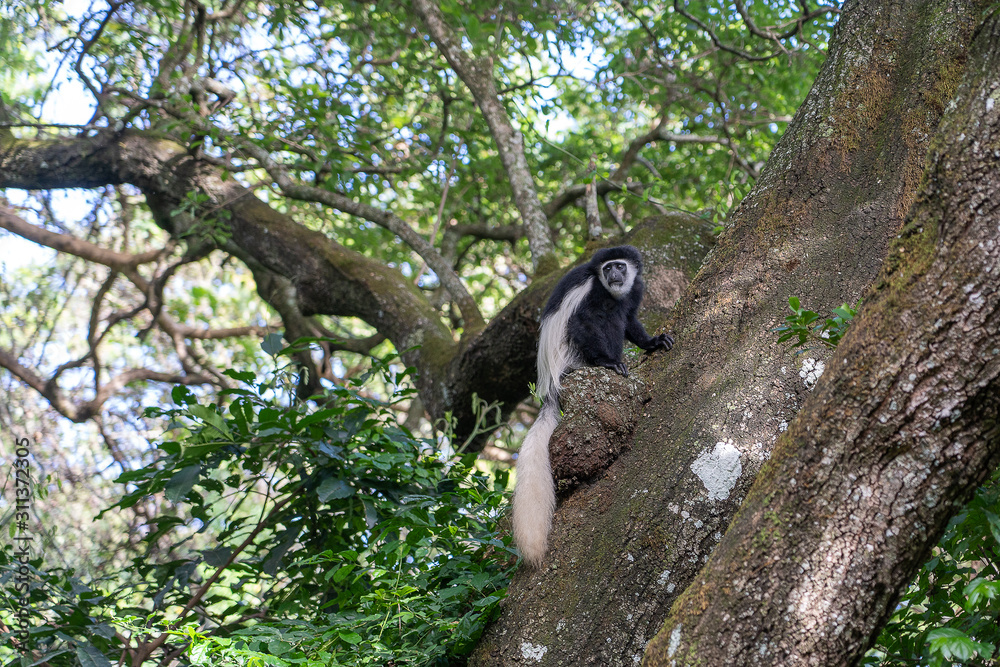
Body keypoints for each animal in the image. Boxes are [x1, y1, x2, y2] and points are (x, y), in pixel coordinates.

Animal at [512, 245, 673, 567]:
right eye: (607, 268)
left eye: (620, 266)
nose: (613, 275)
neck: (612, 289)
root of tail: (553, 385)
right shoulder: (592, 293)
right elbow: (584, 320)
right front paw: (609, 362)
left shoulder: (635, 289)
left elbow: (630, 318)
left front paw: (652, 342)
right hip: (572, 355)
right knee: (603, 320)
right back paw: (609, 362)